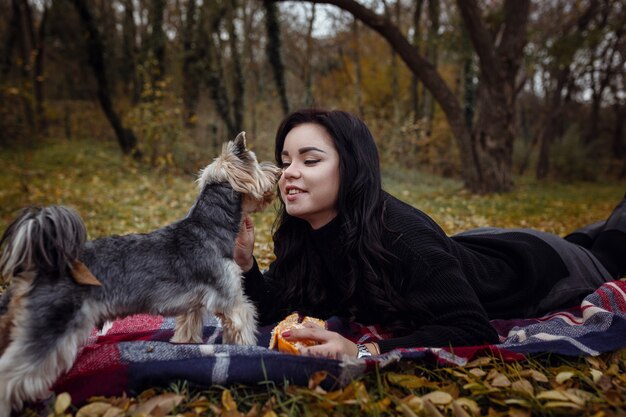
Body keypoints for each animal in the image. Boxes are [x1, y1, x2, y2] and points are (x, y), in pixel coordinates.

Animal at [0, 132, 280, 412]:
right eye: (258, 163)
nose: (277, 172)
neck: (210, 225)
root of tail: (43, 263)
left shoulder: (193, 308)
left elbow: (187, 332)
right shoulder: (231, 301)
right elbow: (243, 328)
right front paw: (247, 351)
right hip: (51, 324)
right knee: (12, 374)